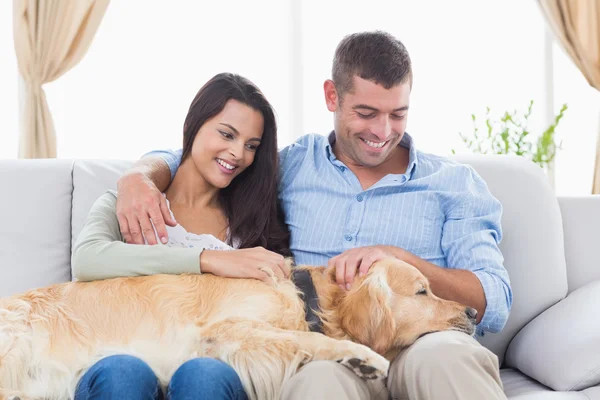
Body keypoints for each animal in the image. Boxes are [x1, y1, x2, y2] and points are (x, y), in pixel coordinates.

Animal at [1, 258, 478, 398]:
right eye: (422, 291)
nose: (475, 312)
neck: (306, 295)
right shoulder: (227, 326)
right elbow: (307, 336)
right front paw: (366, 358)